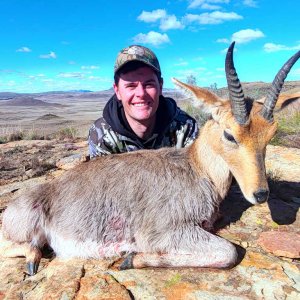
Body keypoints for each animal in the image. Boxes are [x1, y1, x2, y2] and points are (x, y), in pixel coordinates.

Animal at [1, 41, 298, 274]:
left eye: (271, 135)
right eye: (229, 134)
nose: (260, 194)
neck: (196, 168)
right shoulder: (163, 231)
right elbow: (229, 252)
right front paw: (130, 258)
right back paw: (33, 260)